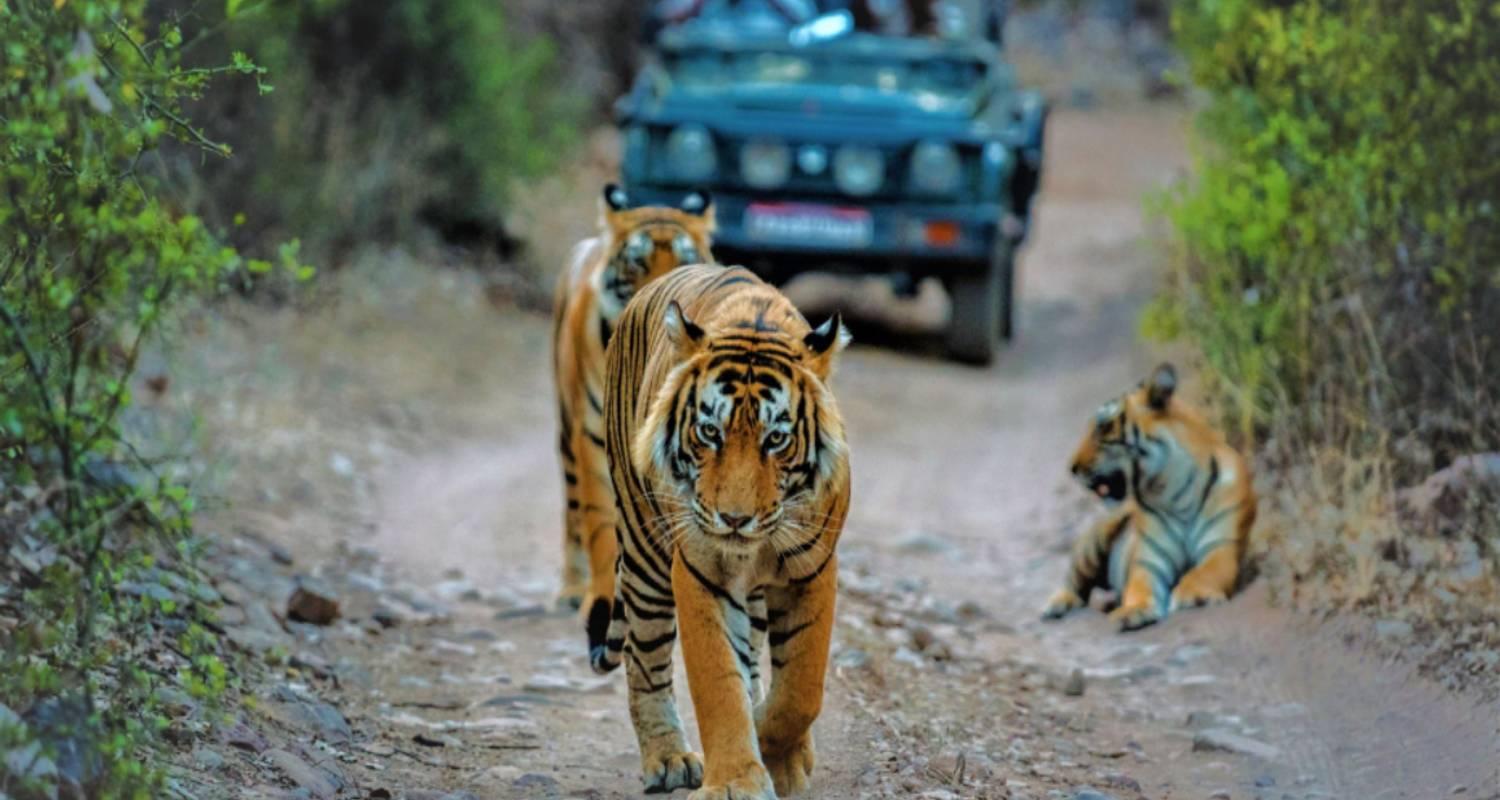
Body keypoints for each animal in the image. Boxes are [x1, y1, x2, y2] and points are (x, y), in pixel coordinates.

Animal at [553, 184, 715, 613]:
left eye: (685, 261)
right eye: (638, 263)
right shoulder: (593, 436)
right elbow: (600, 525)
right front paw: (601, 596)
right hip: (567, 431)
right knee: (572, 510)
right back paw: (571, 590)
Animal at [592, 264, 852, 799]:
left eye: (777, 439)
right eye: (710, 432)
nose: (734, 519)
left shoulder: (814, 569)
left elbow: (802, 688)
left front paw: (781, 753)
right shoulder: (700, 571)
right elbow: (718, 683)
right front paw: (737, 779)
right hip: (645, 554)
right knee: (644, 659)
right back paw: (669, 759)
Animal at [1041, 363, 1257, 631]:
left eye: (1103, 427)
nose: (1072, 468)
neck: (1173, 490)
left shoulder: (1221, 546)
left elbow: (1204, 571)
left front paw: (1192, 595)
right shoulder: (1148, 561)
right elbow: (1138, 586)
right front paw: (1132, 611)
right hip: (1094, 541)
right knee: (1074, 582)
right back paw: (1056, 605)